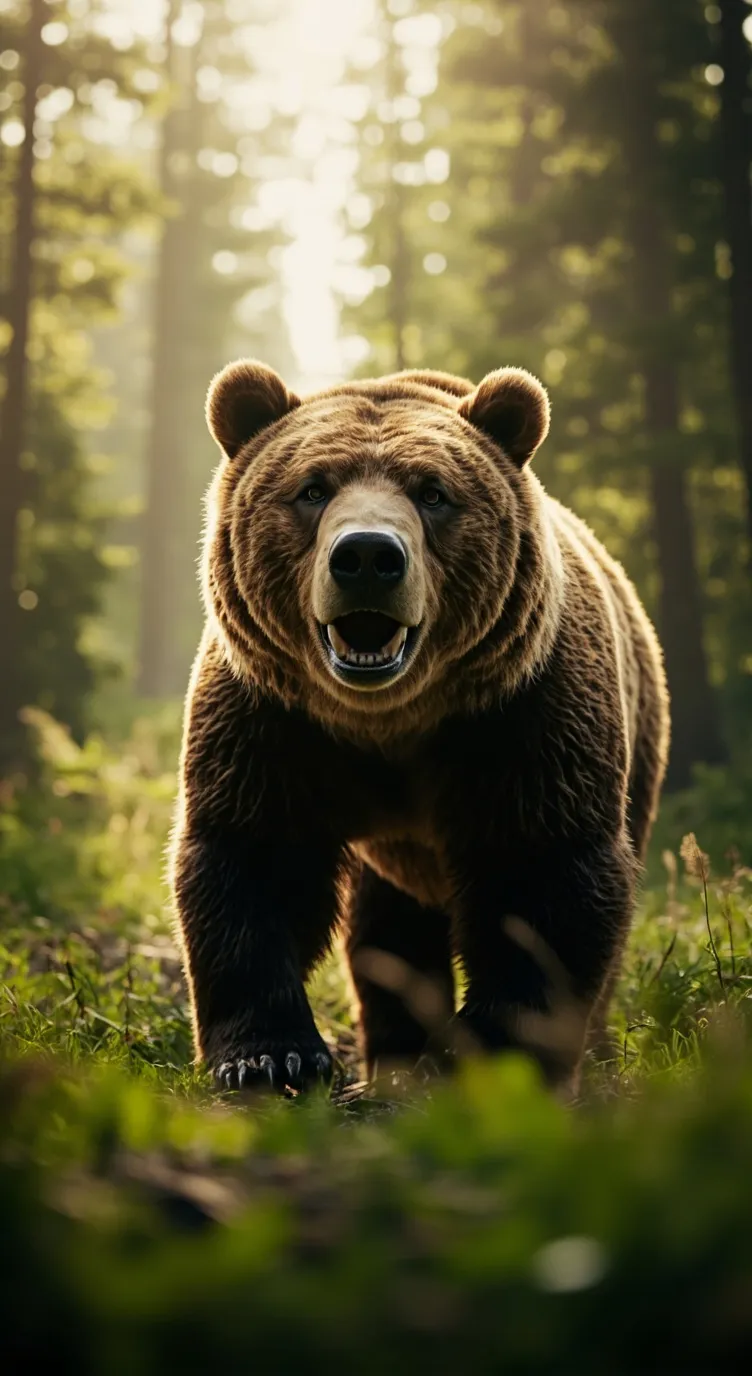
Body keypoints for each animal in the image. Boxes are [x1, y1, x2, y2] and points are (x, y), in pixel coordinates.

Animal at [170, 360, 670, 1094]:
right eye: (313, 488)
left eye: (433, 493)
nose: (367, 556)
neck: (389, 719)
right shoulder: (273, 720)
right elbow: (255, 857)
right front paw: (270, 1055)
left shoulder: (523, 717)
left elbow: (541, 873)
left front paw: (493, 1052)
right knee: (390, 933)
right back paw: (395, 1049)